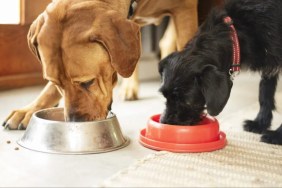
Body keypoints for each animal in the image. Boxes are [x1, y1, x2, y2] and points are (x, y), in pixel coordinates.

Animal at [159, 0, 282, 145]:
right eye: (165, 96)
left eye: (187, 101)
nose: (164, 122)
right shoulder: (269, 63)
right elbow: (265, 93)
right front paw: (260, 123)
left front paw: (277, 135)